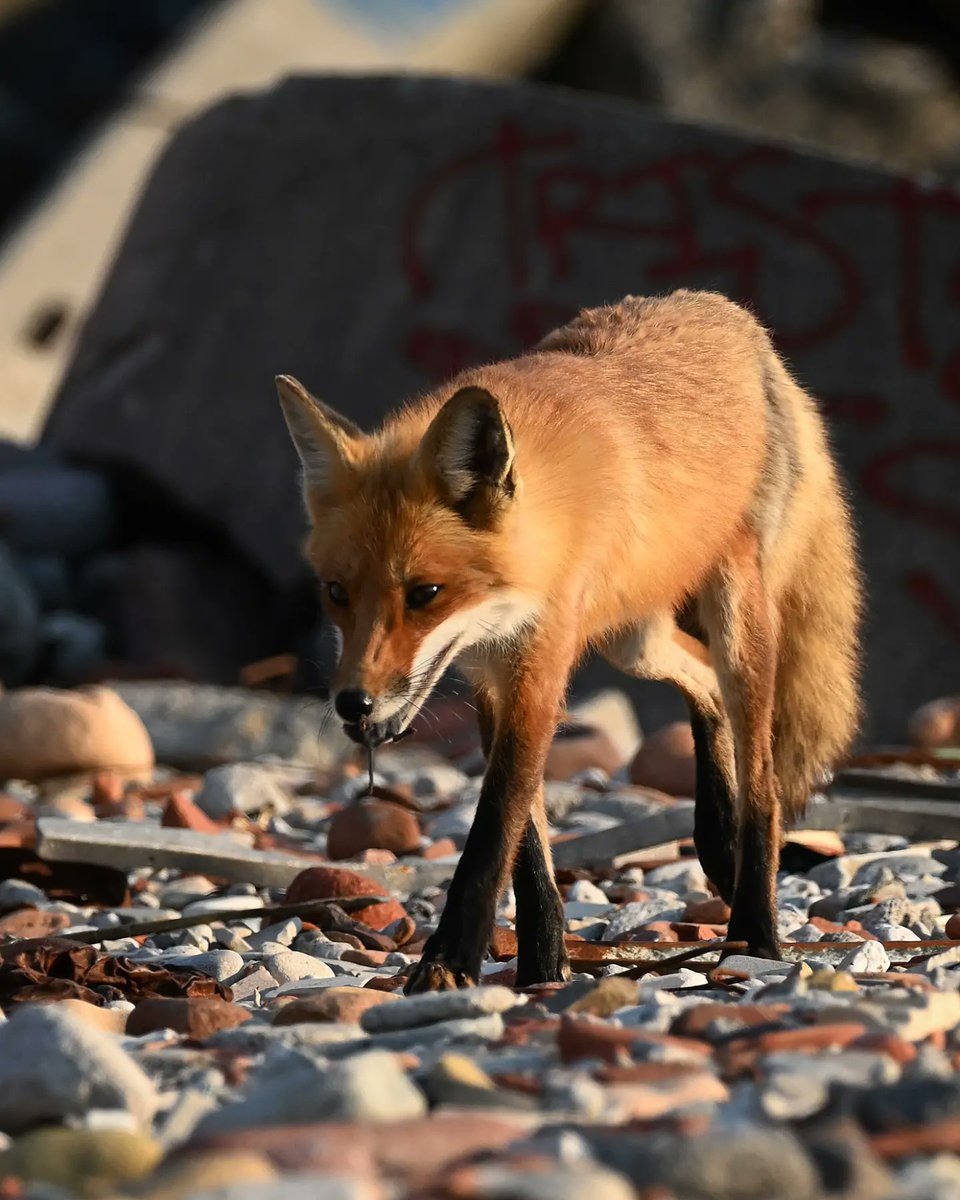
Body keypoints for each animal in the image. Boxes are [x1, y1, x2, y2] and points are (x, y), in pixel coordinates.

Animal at [276, 289, 861, 993]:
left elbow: (492, 831)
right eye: (336, 592)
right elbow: (528, 851)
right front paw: (543, 964)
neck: (543, 535)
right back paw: (719, 847)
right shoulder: (492, 676)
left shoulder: (541, 665)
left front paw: (449, 963)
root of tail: (730, 314)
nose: (353, 703)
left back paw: (756, 933)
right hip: (634, 639)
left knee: (765, 784)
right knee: (704, 688)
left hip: (734, 619)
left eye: (425, 593)